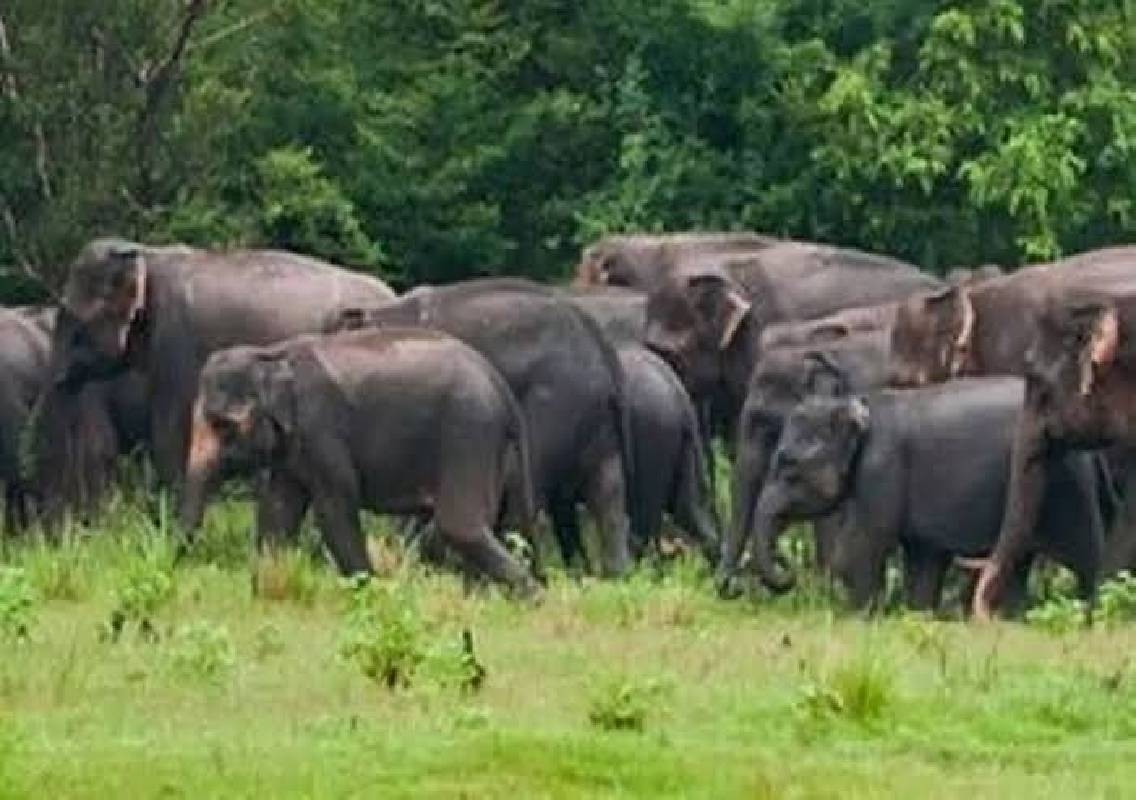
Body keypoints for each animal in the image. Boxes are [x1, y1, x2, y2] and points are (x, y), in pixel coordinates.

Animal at [178, 328, 541, 596]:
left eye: (223, 425)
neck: (271, 353)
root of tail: (500, 385)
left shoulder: (321, 429)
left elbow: (334, 508)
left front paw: (371, 591)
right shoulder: (295, 447)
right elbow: (278, 511)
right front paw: (264, 590)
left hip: (468, 431)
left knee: (459, 526)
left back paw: (532, 598)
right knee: (506, 524)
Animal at [328, 278, 635, 577]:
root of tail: (604, 354)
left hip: (555, 403)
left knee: (524, 492)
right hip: (597, 420)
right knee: (608, 494)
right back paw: (614, 577)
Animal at [744, 378, 1103, 613]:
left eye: (788, 465)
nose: (786, 567)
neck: (858, 403)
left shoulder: (882, 467)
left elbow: (863, 546)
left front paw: (858, 617)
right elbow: (923, 558)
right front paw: (916, 615)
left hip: (1066, 486)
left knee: (1085, 558)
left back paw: (1087, 614)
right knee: (1016, 566)